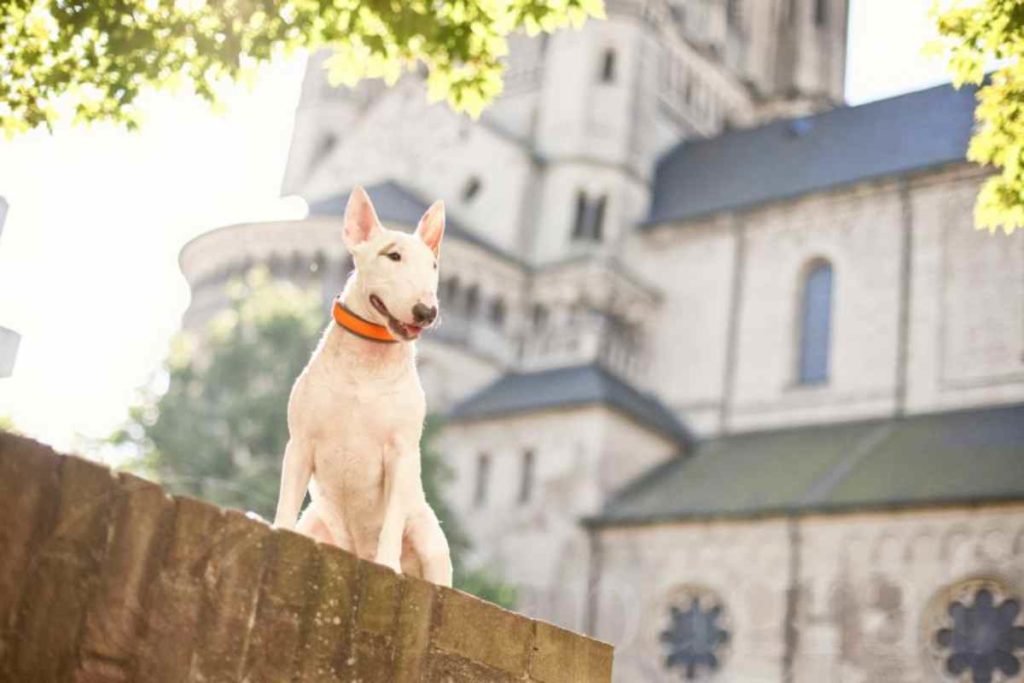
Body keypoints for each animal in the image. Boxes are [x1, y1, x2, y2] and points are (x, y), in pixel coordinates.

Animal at [272, 185, 452, 589]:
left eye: (433, 266)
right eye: (393, 255)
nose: (427, 312)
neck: (366, 366)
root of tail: (356, 554)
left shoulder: (401, 453)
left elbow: (391, 524)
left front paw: (387, 565)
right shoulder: (300, 441)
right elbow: (286, 500)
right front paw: (277, 532)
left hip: (429, 538)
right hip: (315, 519)